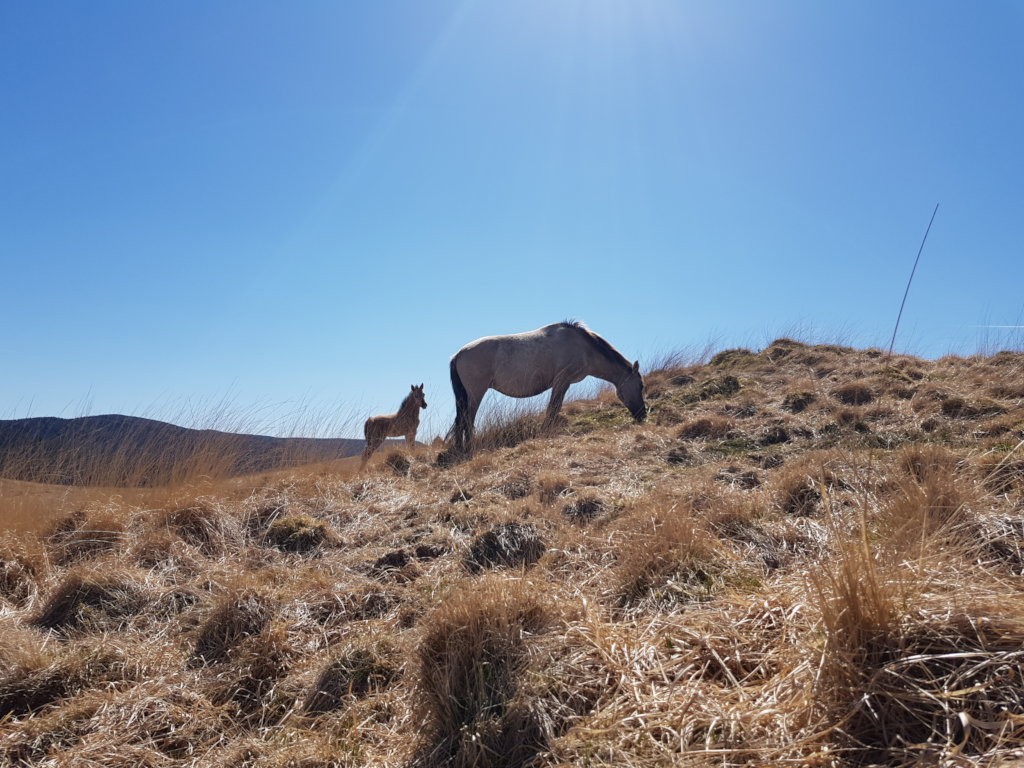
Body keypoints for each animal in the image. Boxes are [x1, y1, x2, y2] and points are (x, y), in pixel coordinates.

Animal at [446, 321, 643, 454]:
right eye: (640, 385)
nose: (643, 415)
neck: (584, 348)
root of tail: (458, 354)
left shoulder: (563, 383)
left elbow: (555, 408)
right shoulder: (562, 381)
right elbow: (553, 408)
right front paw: (546, 432)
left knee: (461, 420)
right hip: (476, 393)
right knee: (468, 420)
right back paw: (470, 448)